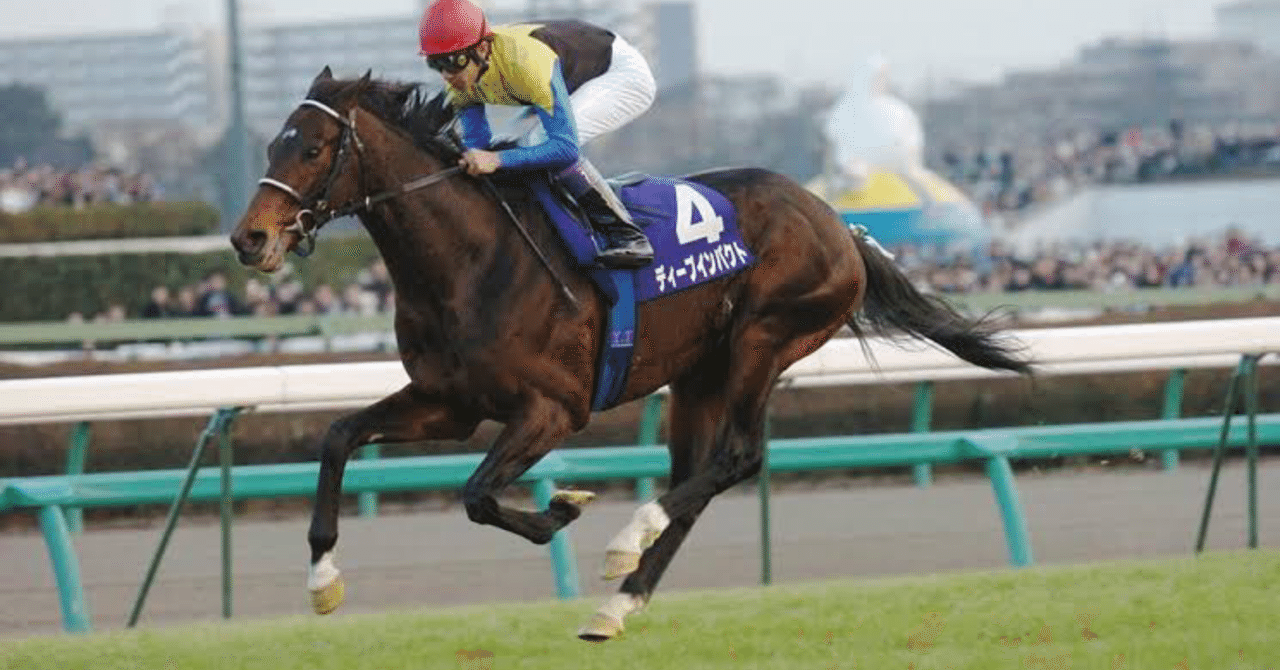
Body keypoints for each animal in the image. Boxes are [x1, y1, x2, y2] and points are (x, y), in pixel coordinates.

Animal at [229, 67, 1033, 641]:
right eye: (270, 145)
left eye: (312, 147)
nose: (248, 238)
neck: (471, 262)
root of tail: (839, 220)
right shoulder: (448, 402)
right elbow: (338, 436)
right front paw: (322, 579)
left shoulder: (554, 410)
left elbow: (478, 495)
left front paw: (561, 509)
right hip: (698, 376)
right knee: (697, 478)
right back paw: (618, 604)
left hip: (765, 338)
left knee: (737, 458)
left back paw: (628, 539)